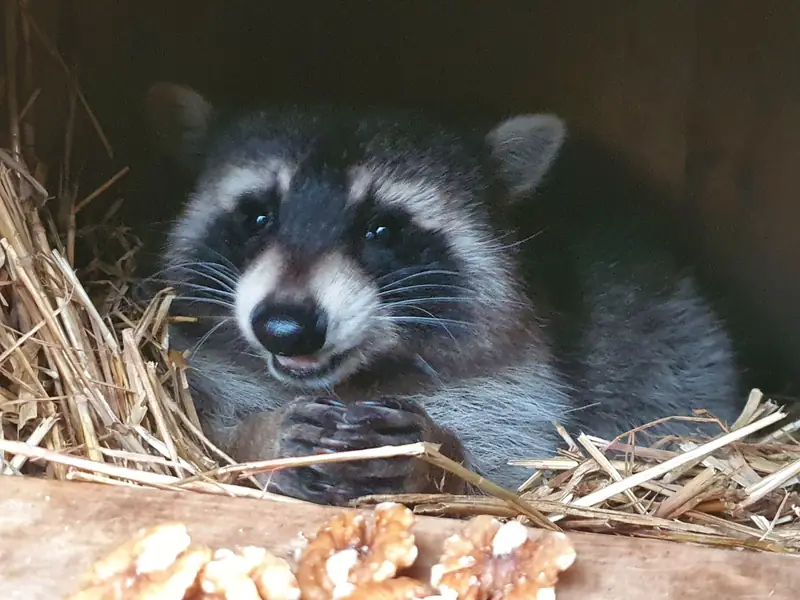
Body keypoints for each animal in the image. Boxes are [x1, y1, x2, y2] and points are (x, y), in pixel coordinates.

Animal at [142, 83, 744, 506]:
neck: (355, 379)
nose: (286, 327)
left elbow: (500, 468)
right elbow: (209, 431)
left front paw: (432, 454)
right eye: (258, 216)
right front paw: (261, 439)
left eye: (382, 229)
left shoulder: (520, 388)